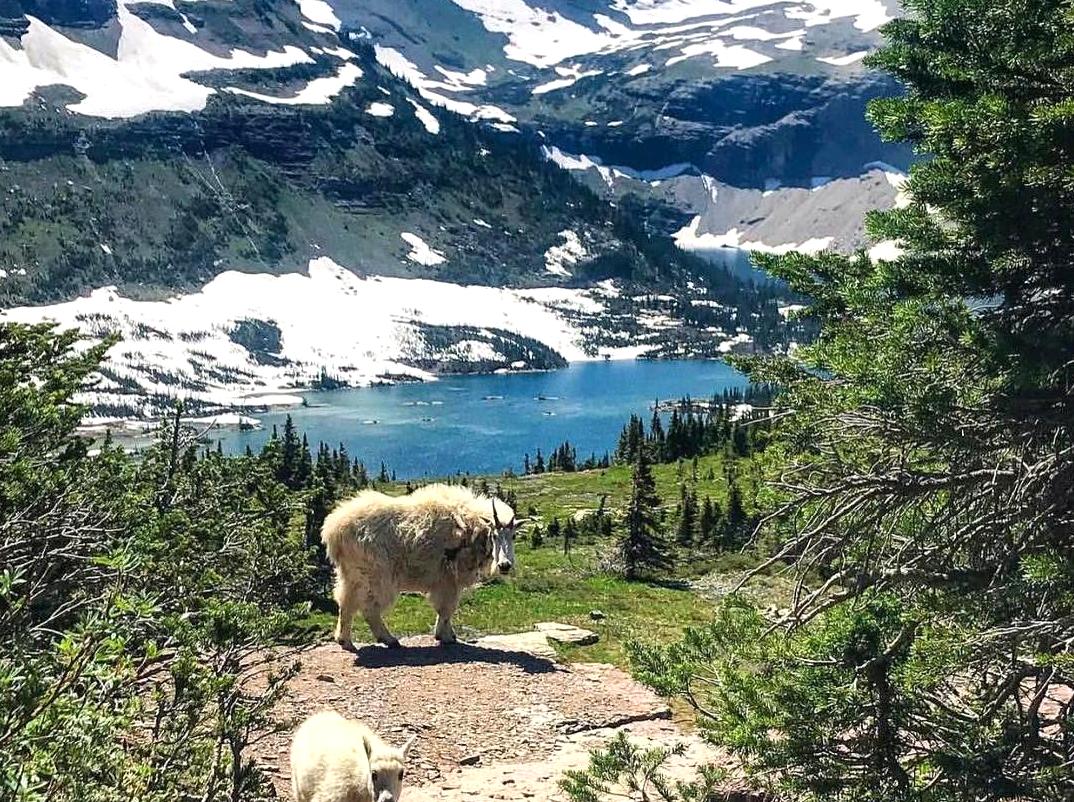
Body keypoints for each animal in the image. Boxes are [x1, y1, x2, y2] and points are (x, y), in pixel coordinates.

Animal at [317, 483, 519, 652]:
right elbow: (446, 608)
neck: (471, 528)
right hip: (374, 575)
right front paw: (445, 636)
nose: (505, 565)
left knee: (346, 603)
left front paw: (448, 634)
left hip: (351, 574)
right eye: (494, 535)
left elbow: (446, 609)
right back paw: (389, 640)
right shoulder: (448, 579)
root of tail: (333, 531)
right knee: (368, 608)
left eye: (513, 536)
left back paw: (346, 641)